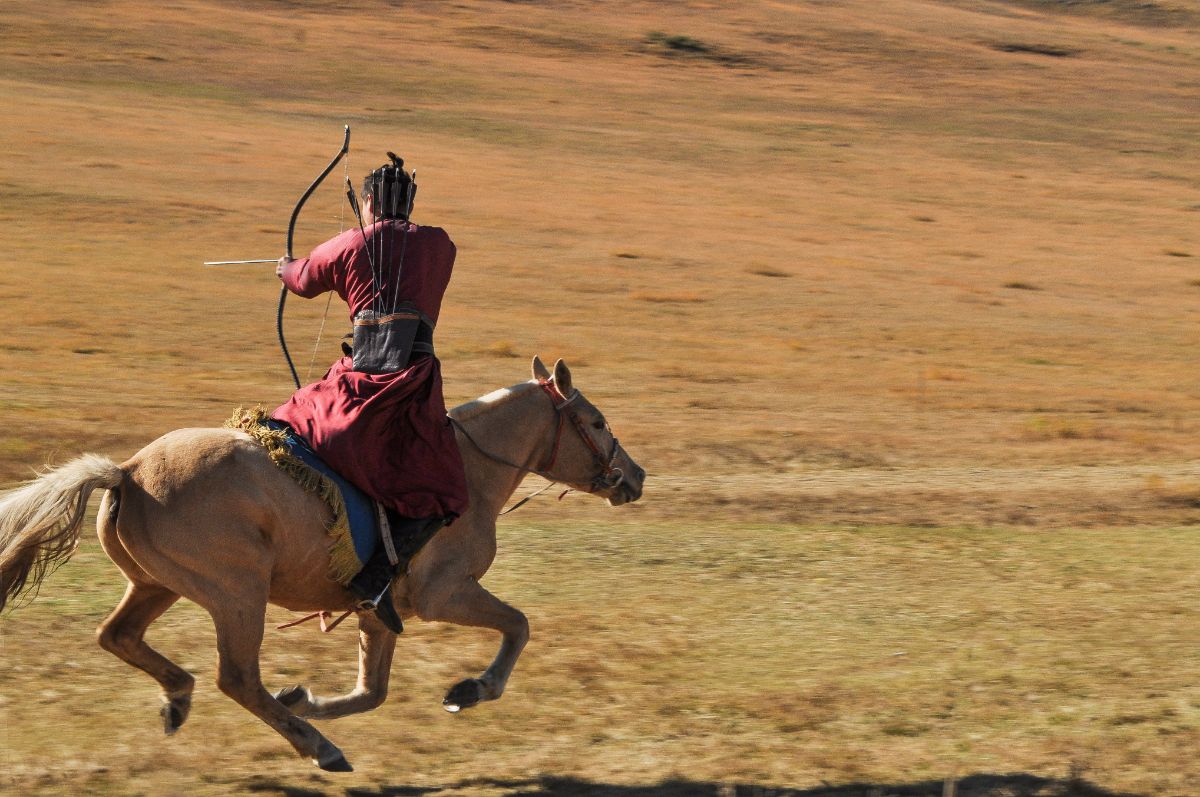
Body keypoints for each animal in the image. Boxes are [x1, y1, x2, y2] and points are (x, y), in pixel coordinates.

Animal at [0, 356, 644, 772]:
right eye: (597, 422)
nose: (634, 477)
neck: (468, 471)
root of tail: (128, 472)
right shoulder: (445, 594)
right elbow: (518, 625)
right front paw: (472, 688)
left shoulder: (378, 611)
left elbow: (371, 692)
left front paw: (305, 700)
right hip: (238, 598)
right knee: (236, 677)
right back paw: (318, 748)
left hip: (158, 586)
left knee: (119, 636)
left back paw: (181, 698)